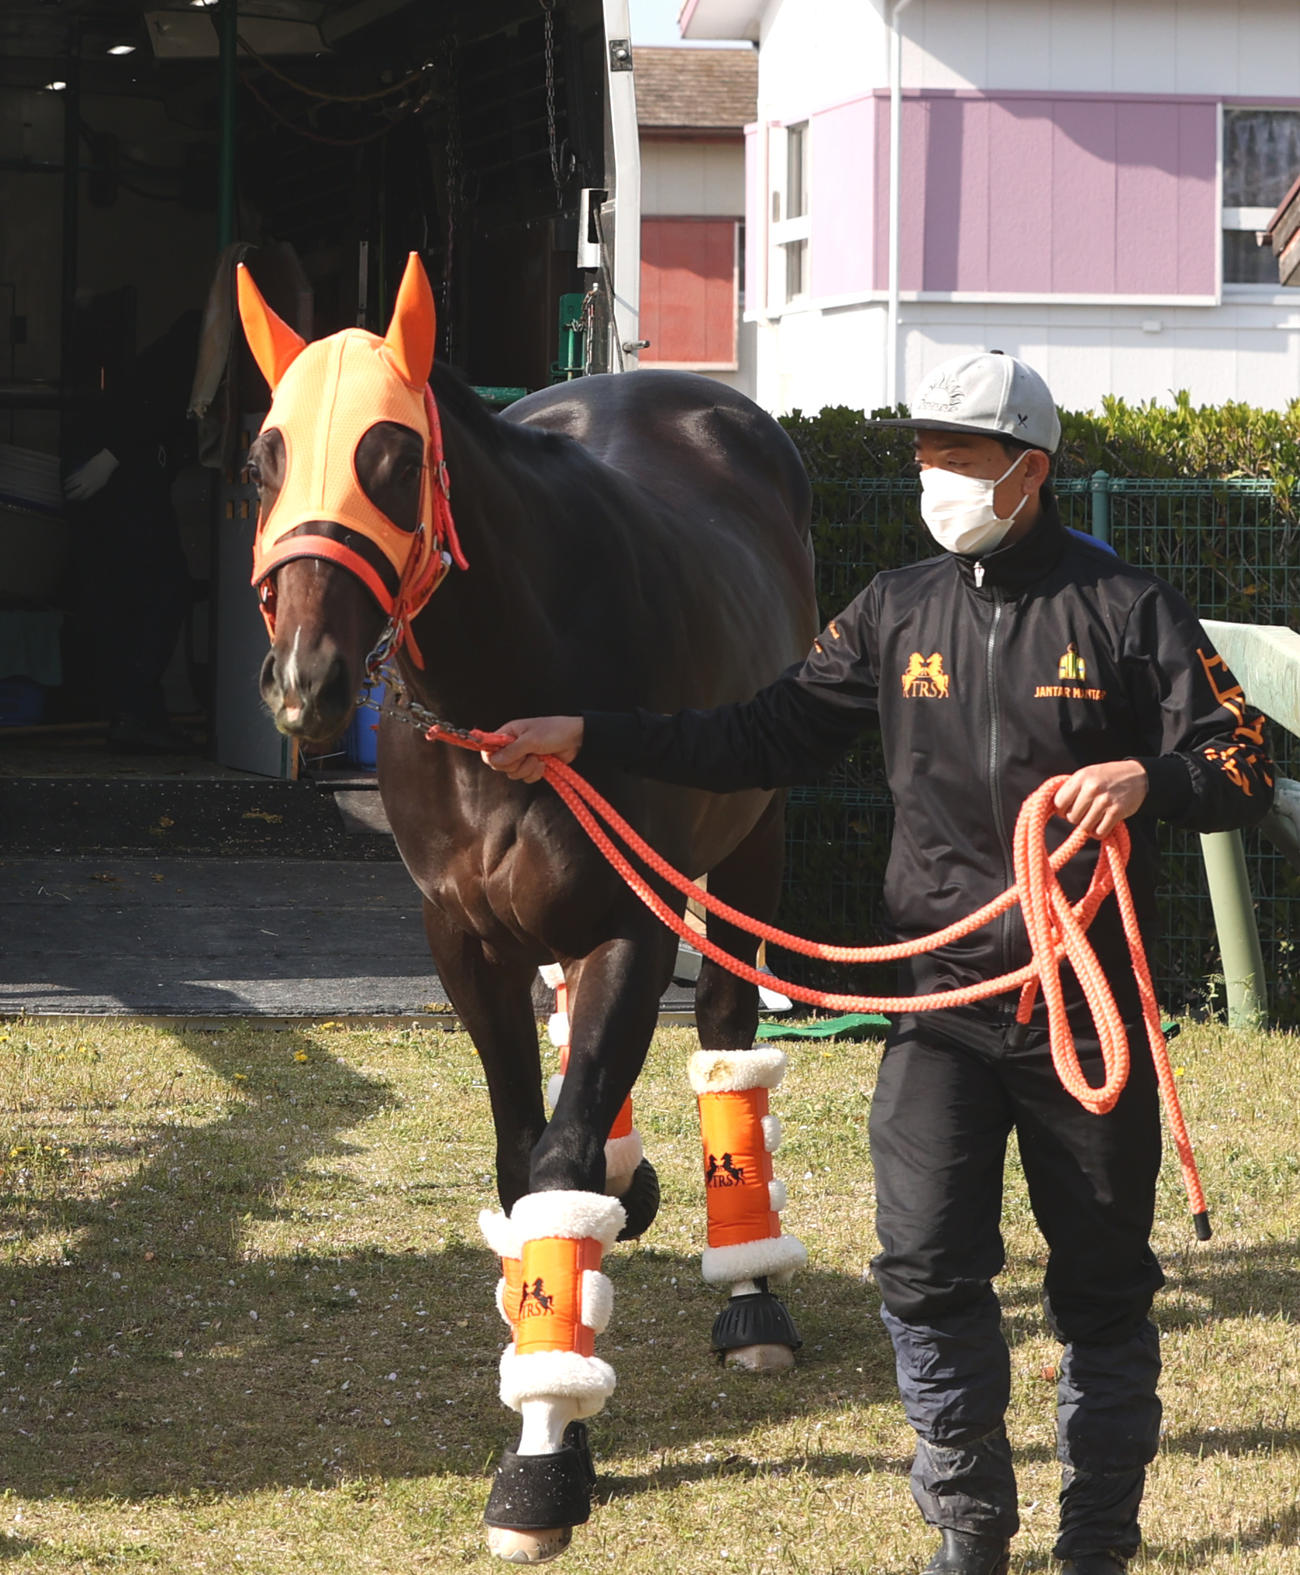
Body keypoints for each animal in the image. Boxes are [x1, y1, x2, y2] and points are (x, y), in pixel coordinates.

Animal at [237, 254, 818, 1561]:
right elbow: (523, 1163)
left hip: (754, 839)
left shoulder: (632, 925)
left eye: (394, 456)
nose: (305, 684)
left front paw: (543, 1460)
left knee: (726, 1044)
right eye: (263, 456)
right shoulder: (463, 939)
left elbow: (556, 1164)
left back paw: (748, 1292)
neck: (509, 683)